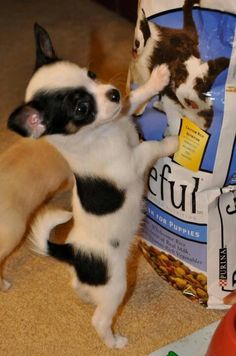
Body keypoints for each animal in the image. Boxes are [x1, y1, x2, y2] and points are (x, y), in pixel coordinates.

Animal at [7, 24, 179, 348]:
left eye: (91, 74)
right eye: (81, 108)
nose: (113, 93)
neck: (103, 131)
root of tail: (73, 251)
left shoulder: (123, 111)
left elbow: (135, 97)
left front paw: (156, 79)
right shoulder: (131, 163)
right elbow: (150, 147)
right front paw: (173, 142)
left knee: (80, 288)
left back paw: (86, 297)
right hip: (116, 284)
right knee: (99, 319)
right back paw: (114, 341)